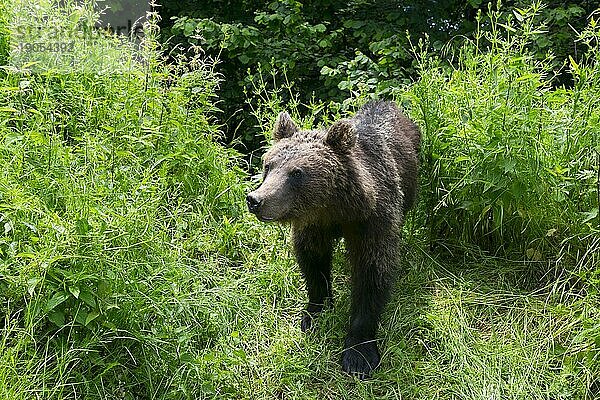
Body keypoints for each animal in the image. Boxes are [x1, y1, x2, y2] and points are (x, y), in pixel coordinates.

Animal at [246, 100, 420, 378]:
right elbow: (313, 262)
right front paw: (314, 313)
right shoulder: (314, 225)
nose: (255, 200)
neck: (336, 208)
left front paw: (359, 355)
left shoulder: (372, 222)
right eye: (268, 165)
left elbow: (372, 272)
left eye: (296, 173)